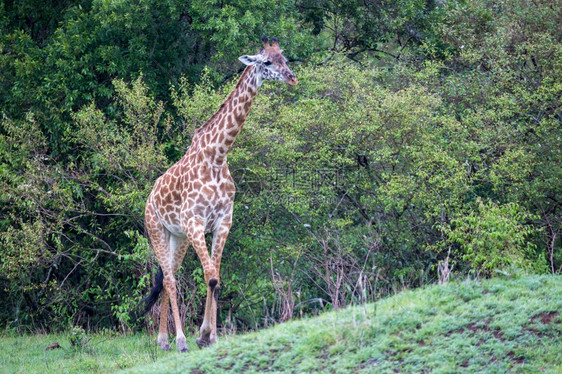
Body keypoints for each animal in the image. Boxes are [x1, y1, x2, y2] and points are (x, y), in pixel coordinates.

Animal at [140, 35, 298, 350]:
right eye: (267, 62)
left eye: (285, 59)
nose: (292, 78)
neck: (217, 156)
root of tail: (149, 198)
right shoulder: (195, 222)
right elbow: (210, 276)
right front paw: (201, 334)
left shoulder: (223, 221)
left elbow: (216, 277)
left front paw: (211, 336)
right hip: (157, 230)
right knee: (171, 280)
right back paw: (178, 340)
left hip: (178, 237)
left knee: (167, 278)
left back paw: (163, 340)